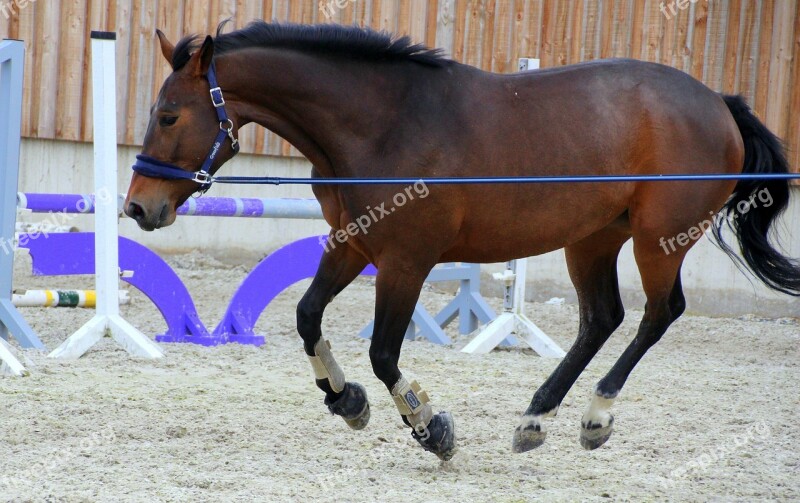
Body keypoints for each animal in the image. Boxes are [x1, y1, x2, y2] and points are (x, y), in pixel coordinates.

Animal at [122, 22, 796, 460]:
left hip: (659, 240)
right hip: (594, 239)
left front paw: (429, 427)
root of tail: (718, 103)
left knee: (659, 314)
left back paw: (596, 415)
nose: (138, 206)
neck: (384, 124)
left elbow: (385, 353)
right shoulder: (352, 244)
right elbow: (308, 316)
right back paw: (535, 418)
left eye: (170, 116)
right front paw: (346, 400)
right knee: (603, 317)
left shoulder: (405, 261)